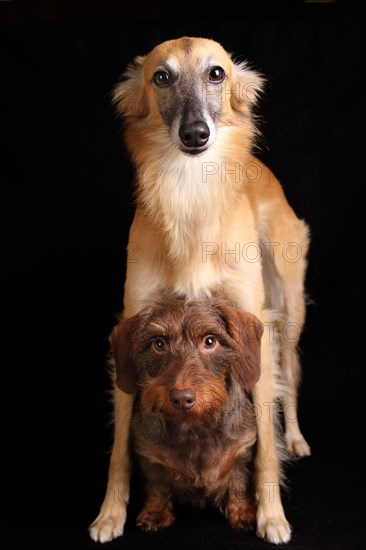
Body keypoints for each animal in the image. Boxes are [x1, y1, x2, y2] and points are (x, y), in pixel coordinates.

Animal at [108, 302, 264, 536]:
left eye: (210, 341)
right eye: (159, 344)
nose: (182, 398)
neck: (193, 427)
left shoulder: (241, 452)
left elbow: (238, 482)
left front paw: (243, 512)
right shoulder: (150, 455)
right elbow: (158, 485)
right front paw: (155, 512)